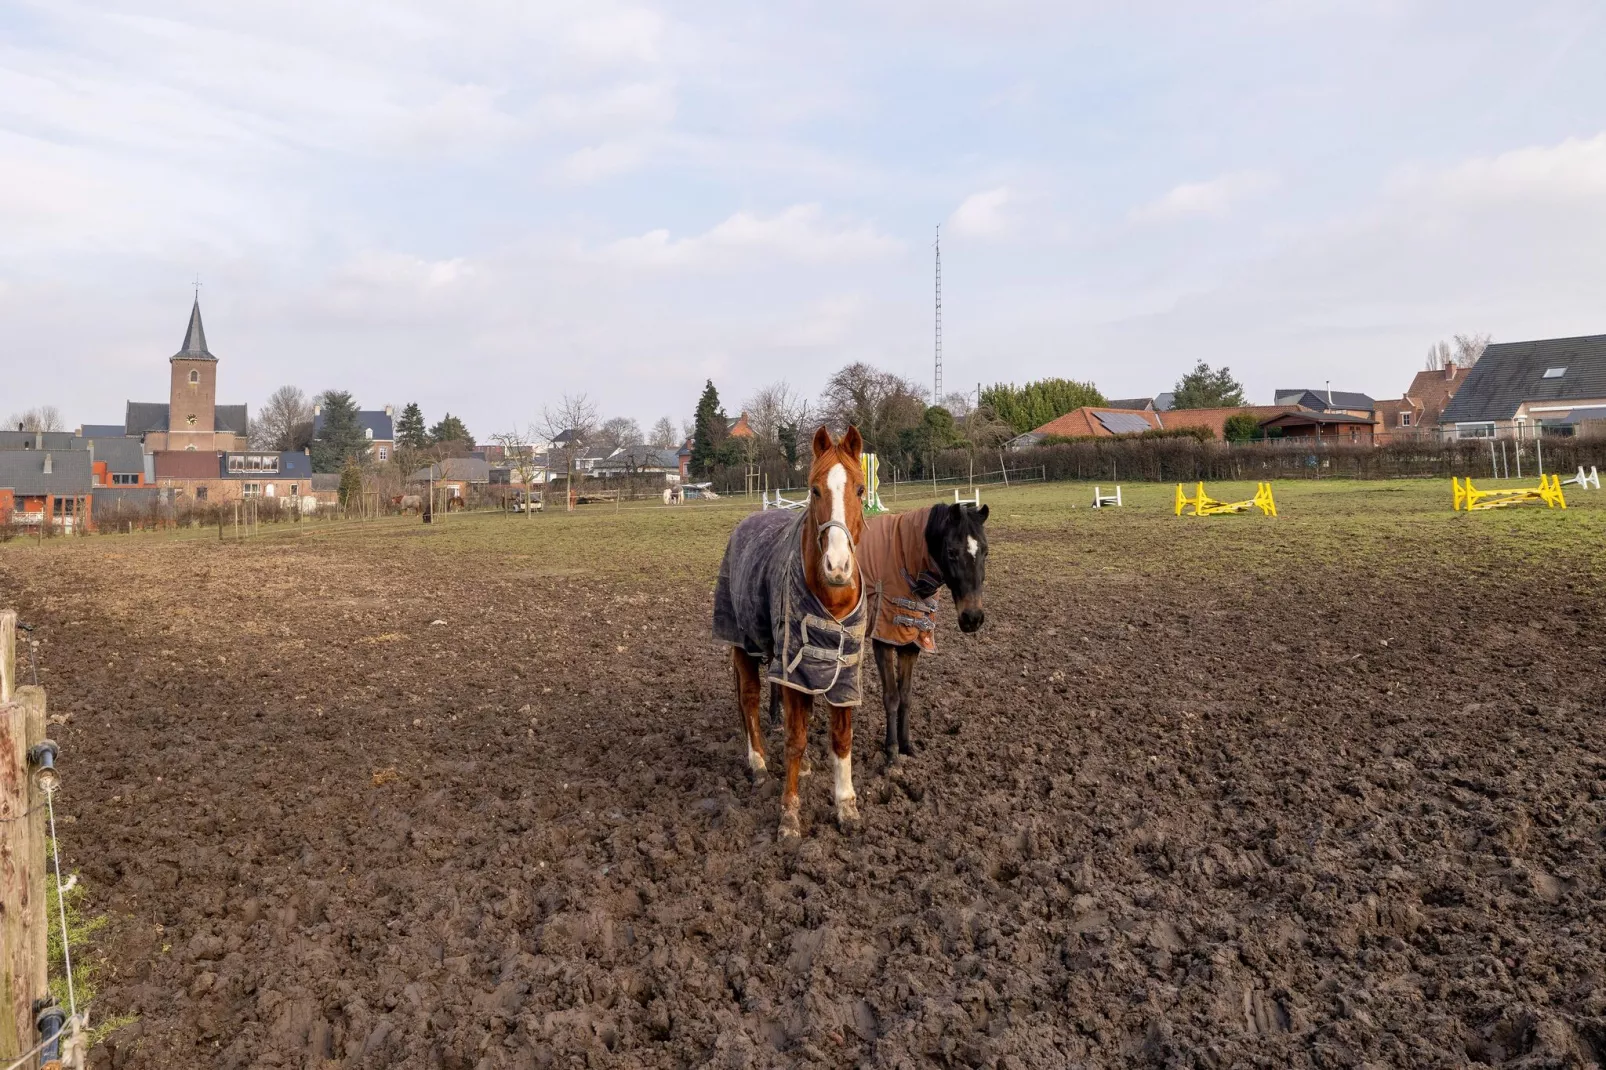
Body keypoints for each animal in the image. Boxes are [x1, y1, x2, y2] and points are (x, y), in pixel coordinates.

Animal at [716, 424, 867, 835]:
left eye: (861, 489)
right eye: (814, 490)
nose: (838, 566)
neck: (831, 599)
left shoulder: (842, 672)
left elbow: (841, 738)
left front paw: (846, 806)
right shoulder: (792, 667)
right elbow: (795, 739)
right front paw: (789, 815)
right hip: (742, 644)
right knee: (749, 700)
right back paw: (757, 763)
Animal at [767, 501, 989, 761]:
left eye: (985, 552)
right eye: (952, 551)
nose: (972, 618)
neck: (906, 557)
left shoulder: (909, 643)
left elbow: (906, 696)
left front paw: (906, 745)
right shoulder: (882, 640)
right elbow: (891, 696)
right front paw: (891, 752)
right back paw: (775, 716)